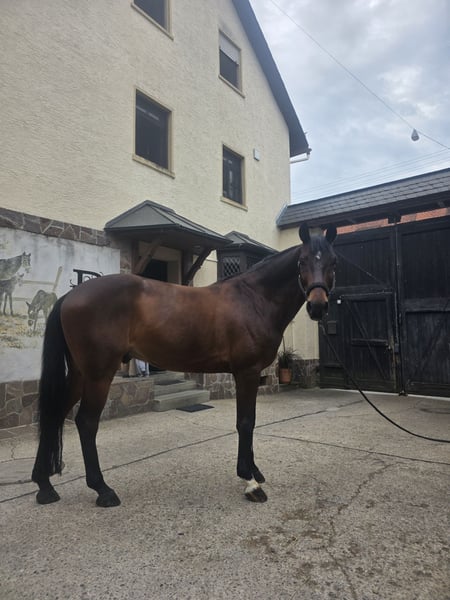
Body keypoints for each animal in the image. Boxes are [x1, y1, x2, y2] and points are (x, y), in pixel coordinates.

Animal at [32, 223, 337, 507]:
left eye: (333, 262)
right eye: (302, 261)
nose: (318, 307)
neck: (254, 299)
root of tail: (71, 296)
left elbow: (249, 420)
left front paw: (254, 471)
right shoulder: (246, 373)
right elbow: (245, 422)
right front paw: (250, 481)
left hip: (79, 374)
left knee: (55, 414)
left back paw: (45, 485)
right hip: (99, 375)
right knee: (86, 422)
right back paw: (102, 490)